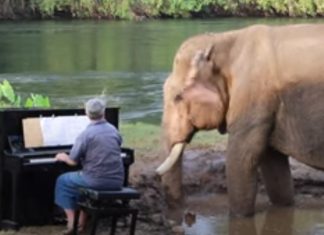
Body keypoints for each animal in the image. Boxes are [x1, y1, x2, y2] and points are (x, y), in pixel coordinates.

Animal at [156, 23, 324, 217]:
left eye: (177, 97)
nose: (187, 212)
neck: (222, 40)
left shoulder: (252, 96)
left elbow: (241, 158)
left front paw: (239, 217)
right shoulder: (267, 108)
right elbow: (272, 161)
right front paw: (284, 206)